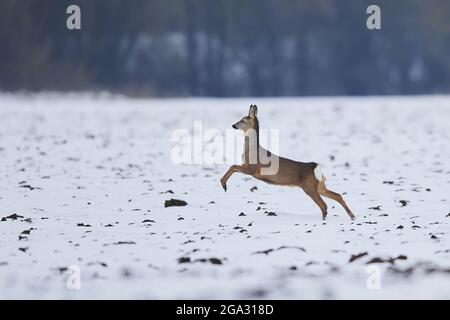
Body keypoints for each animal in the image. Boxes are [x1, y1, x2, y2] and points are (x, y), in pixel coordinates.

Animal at [221, 104, 356, 220]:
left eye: (242, 120)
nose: (233, 125)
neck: (252, 149)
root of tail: (316, 167)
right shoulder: (247, 168)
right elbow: (233, 167)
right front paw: (224, 185)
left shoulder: (252, 169)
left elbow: (232, 166)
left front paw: (223, 185)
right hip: (319, 186)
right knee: (337, 195)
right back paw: (353, 216)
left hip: (309, 186)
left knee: (324, 205)